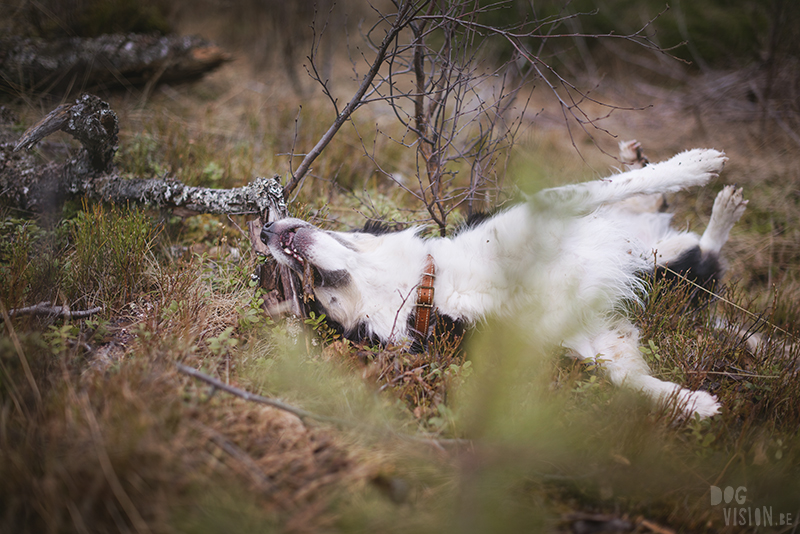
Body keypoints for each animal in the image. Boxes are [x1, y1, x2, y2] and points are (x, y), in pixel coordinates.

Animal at [262, 149, 752, 420]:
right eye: (315, 293)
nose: (265, 232)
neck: (434, 286)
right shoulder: (580, 334)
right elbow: (623, 376)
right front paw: (693, 404)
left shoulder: (545, 208)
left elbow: (617, 184)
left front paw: (696, 163)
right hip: (667, 269)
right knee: (705, 262)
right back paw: (726, 209)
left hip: (655, 255)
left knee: (660, 215)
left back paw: (712, 193)